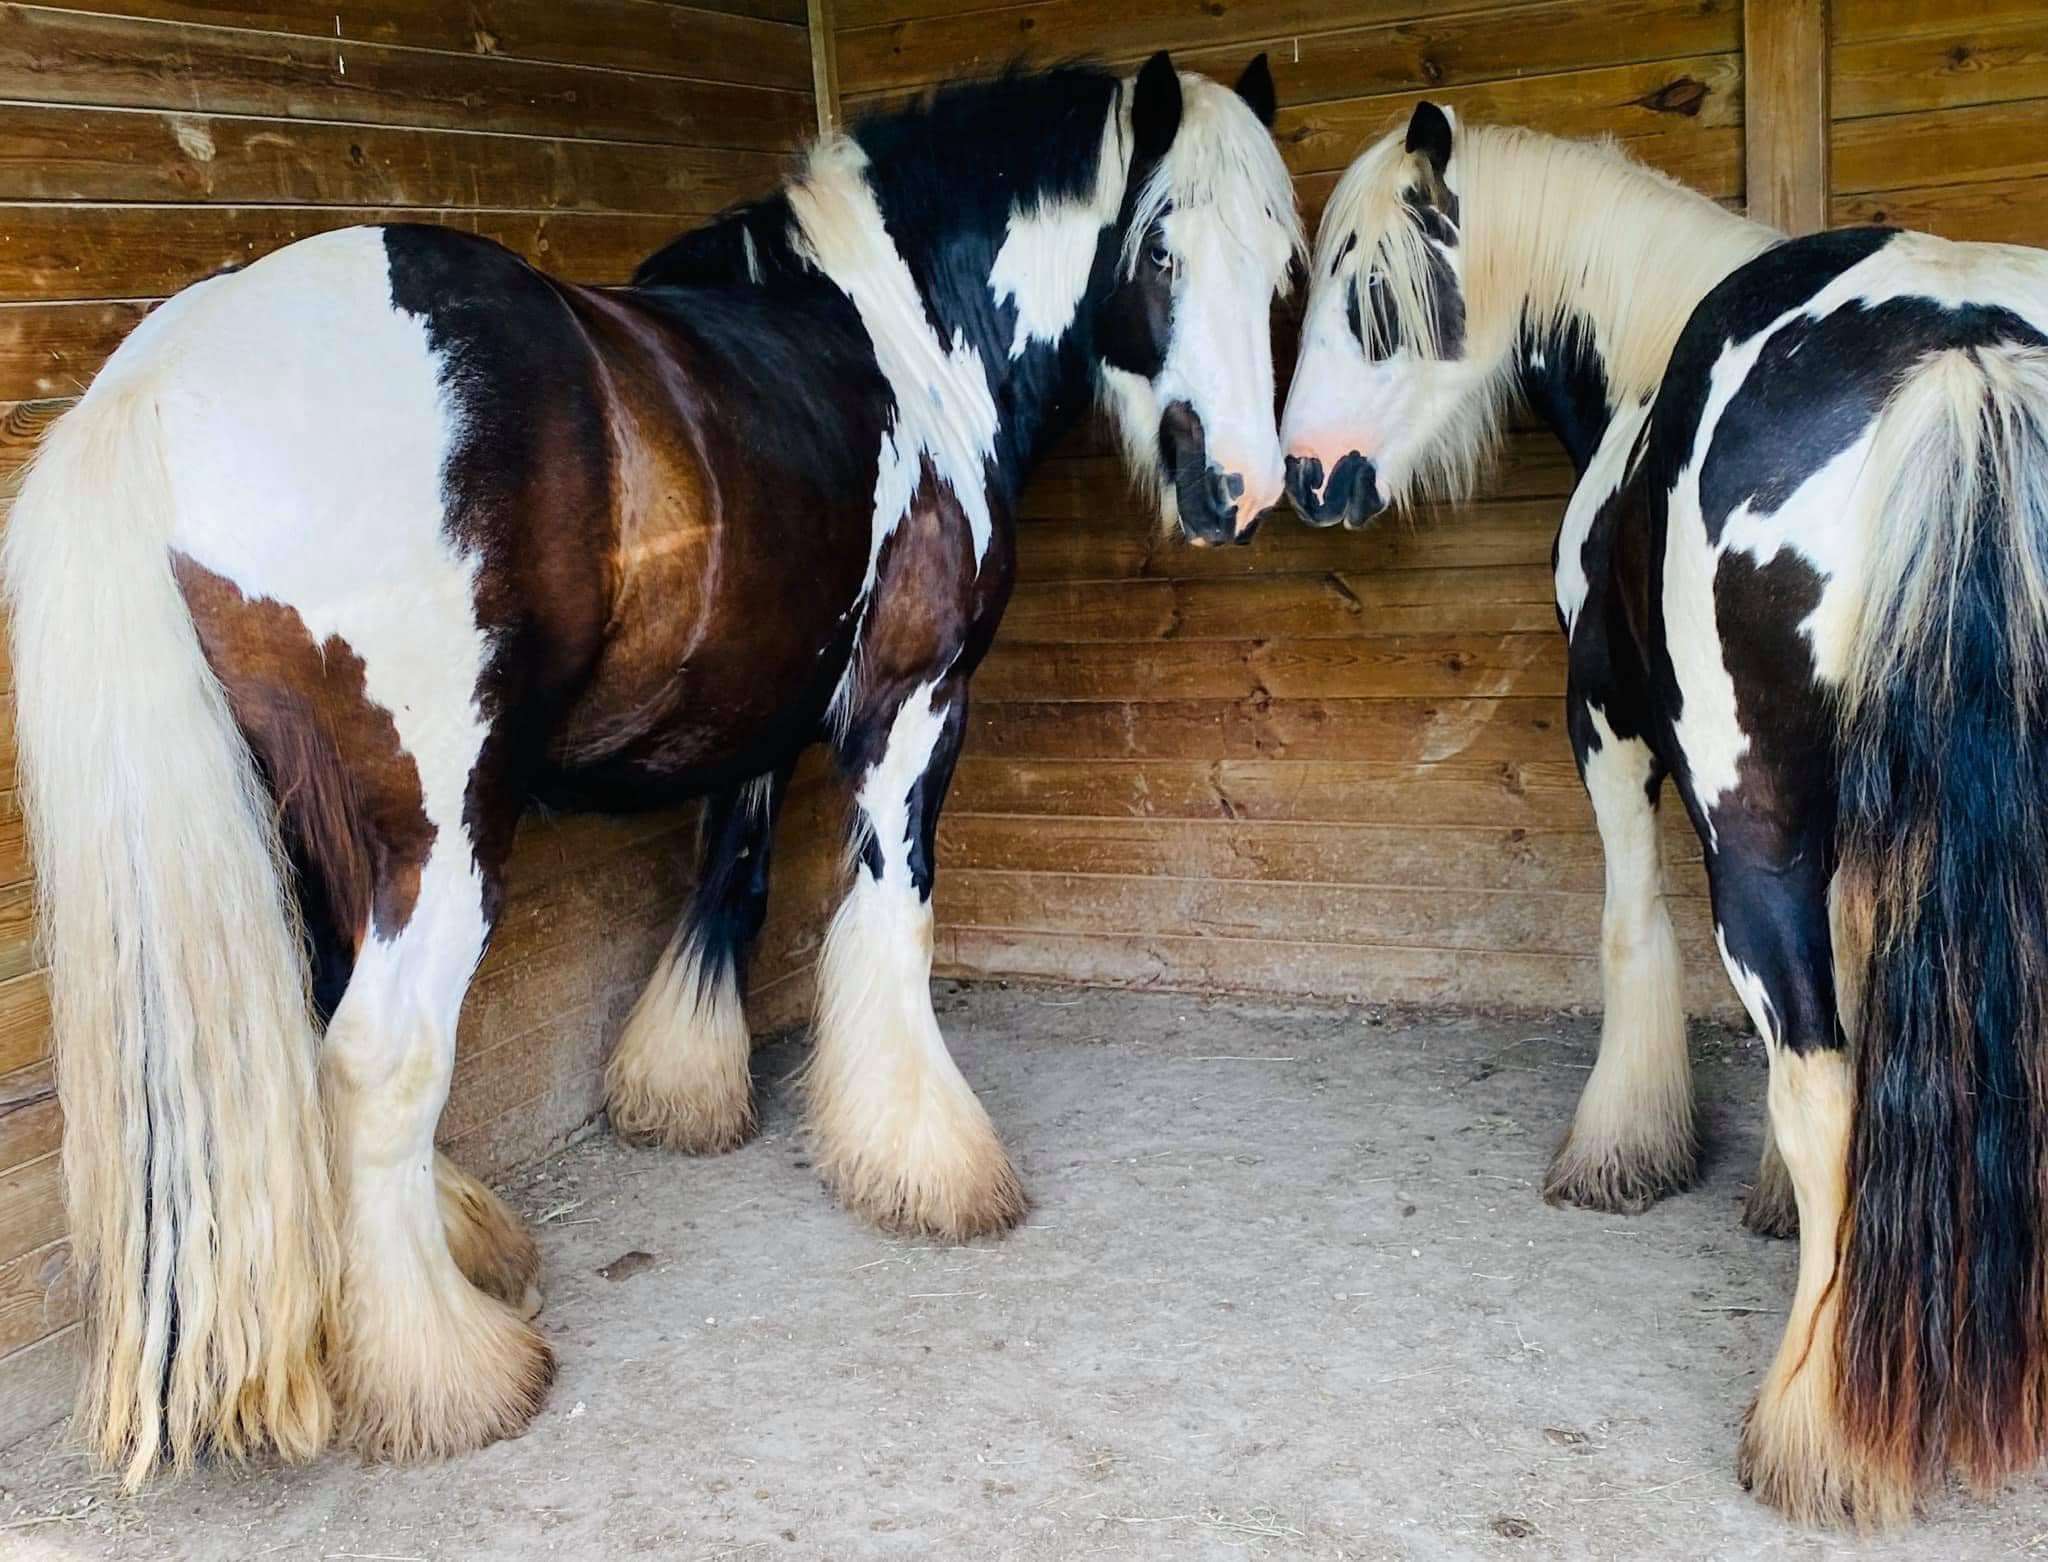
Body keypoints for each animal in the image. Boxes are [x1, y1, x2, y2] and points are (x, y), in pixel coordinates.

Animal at [4, 54, 1304, 1485]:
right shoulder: (912, 702)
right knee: (377, 1059)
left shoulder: (754, 716)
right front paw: (928, 1161)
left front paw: (683, 1089)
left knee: (330, 1022)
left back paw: (456, 1250)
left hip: (316, 818)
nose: (1239, 487)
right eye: (1160, 246)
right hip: (440, 830)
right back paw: (445, 1369)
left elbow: (728, 882)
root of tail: (163, 373)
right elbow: (889, 917)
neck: (906, 336)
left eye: (1283, 263)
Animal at [1278, 104, 2048, 1527]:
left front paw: (1620, 1146)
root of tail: (1961, 355)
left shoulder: (1609, 723)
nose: (1307, 477)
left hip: (1743, 822)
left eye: (1373, 293)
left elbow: (1634, 933)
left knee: (1816, 1080)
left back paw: (1814, 1432)